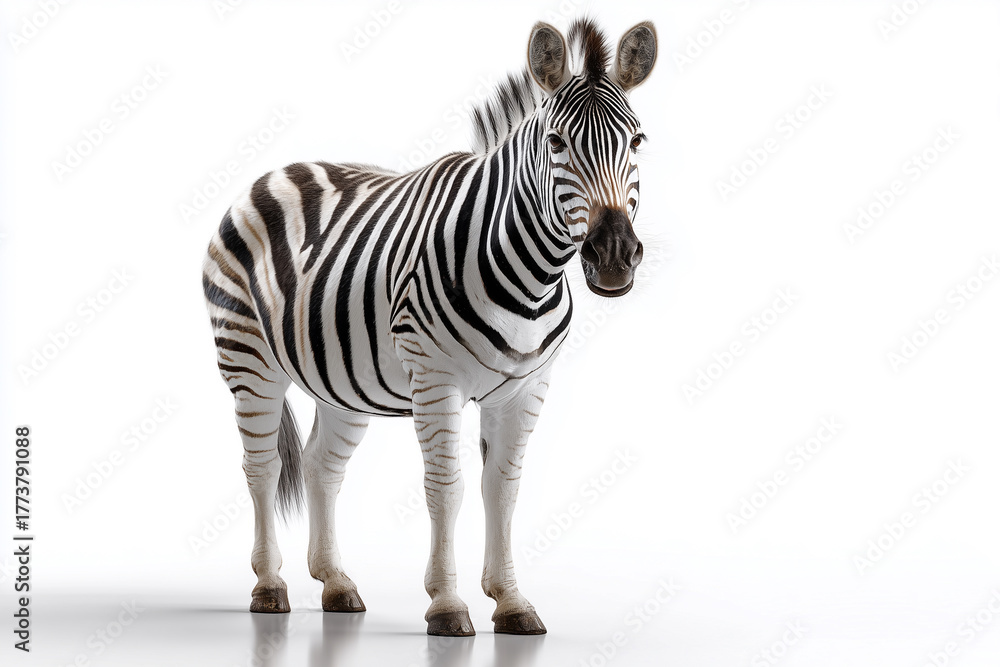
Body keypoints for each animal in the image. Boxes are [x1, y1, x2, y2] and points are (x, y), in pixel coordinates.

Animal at [202, 17, 657, 636]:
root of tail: (277, 171)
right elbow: (447, 487)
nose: (613, 256)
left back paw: (336, 584)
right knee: (262, 468)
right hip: (248, 359)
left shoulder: (527, 387)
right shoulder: (437, 379)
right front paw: (446, 603)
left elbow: (503, 489)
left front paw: (511, 601)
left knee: (322, 467)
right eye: (556, 143)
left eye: (636, 142)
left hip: (341, 381)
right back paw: (270, 585)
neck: (530, 274)